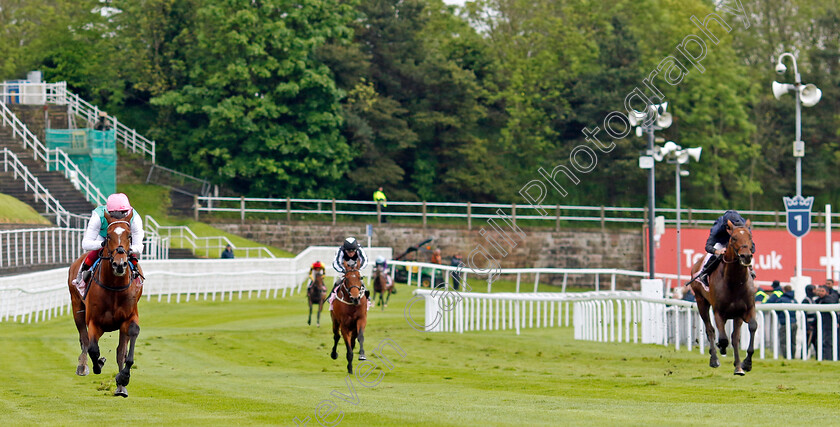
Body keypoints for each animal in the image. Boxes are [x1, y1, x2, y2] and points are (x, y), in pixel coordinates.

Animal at [68, 211, 144, 398]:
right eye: (108, 236)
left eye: (130, 236)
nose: (120, 264)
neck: (114, 288)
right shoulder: (95, 322)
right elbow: (92, 348)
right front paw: (98, 363)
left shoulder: (129, 317)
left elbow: (127, 346)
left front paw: (123, 378)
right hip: (77, 307)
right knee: (84, 339)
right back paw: (83, 366)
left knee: (119, 350)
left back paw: (120, 387)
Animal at [692, 219, 756, 376]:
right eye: (733, 238)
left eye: (750, 237)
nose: (746, 256)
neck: (734, 282)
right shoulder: (719, 312)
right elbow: (722, 338)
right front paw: (720, 348)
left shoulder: (747, 309)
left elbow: (751, 327)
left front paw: (746, 364)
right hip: (701, 302)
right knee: (710, 329)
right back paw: (714, 359)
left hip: (736, 315)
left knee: (734, 337)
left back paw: (738, 367)